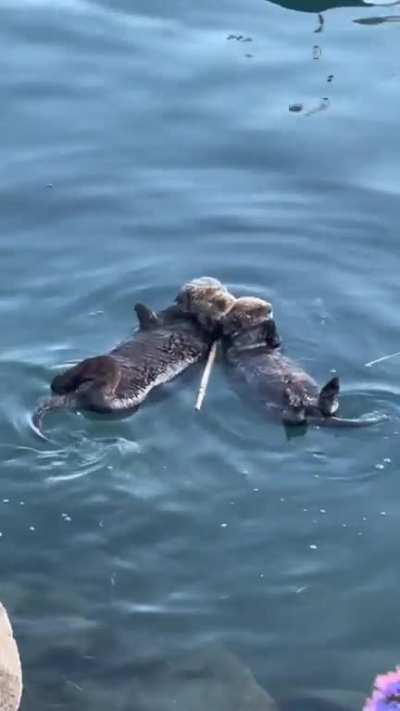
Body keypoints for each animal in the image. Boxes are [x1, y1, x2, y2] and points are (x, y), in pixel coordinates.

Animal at [32, 277, 236, 436]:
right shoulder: (167, 315)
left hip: (114, 401)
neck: (187, 320)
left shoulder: (206, 332)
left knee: (96, 387)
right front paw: (141, 307)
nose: (220, 297)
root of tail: (75, 399)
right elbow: (155, 318)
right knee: (57, 384)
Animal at [221, 297, 386, 428]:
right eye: (256, 309)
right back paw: (296, 401)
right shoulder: (234, 347)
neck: (257, 344)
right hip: (274, 411)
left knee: (330, 407)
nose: (269, 308)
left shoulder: (274, 345)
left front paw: (270, 323)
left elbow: (276, 342)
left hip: (319, 403)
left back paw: (329, 387)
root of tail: (314, 412)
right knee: (293, 419)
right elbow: (234, 338)